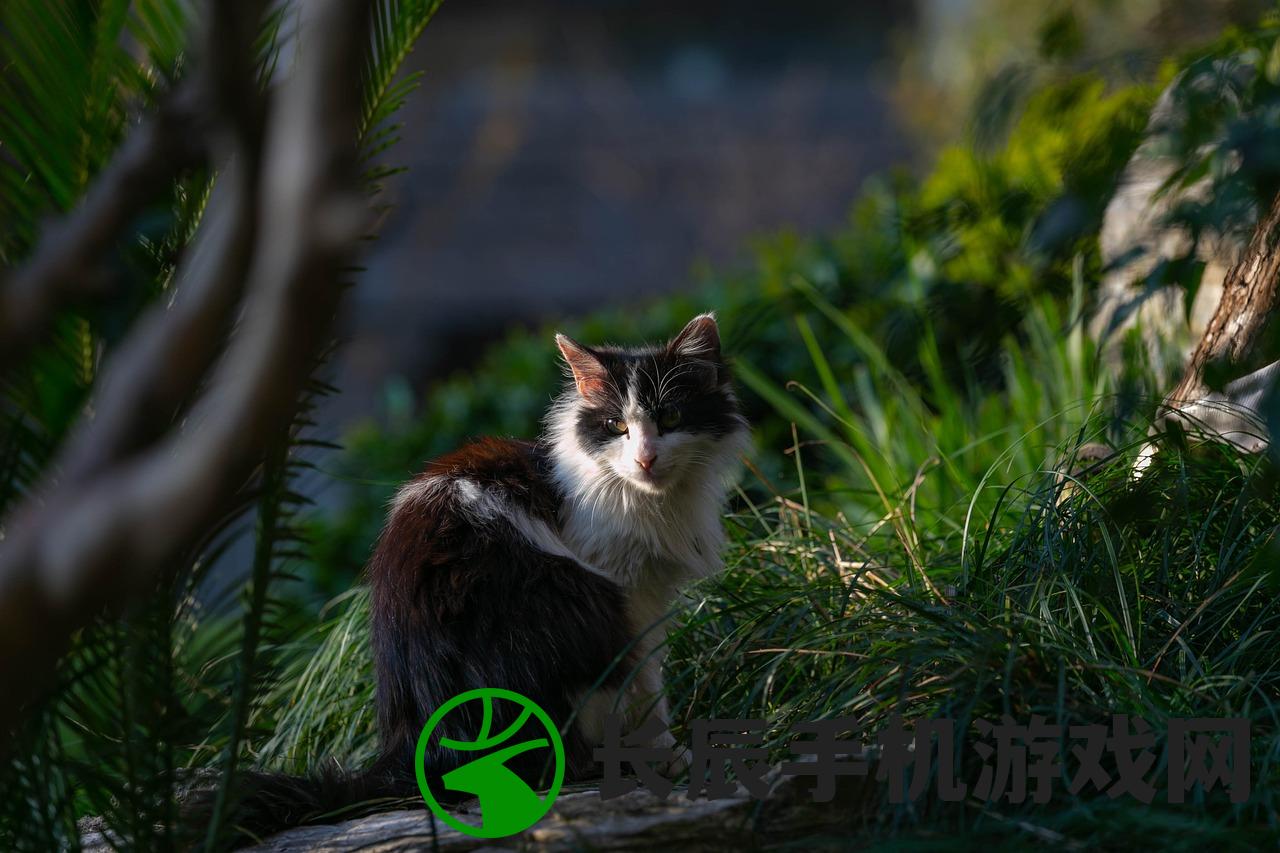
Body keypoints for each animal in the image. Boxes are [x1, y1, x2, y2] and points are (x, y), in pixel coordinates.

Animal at [207, 312, 747, 835]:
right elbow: (647, 687)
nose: (645, 458)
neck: (647, 501)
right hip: (575, 599)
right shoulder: (627, 591)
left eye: (670, 417)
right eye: (616, 426)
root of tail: (417, 749)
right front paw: (667, 756)